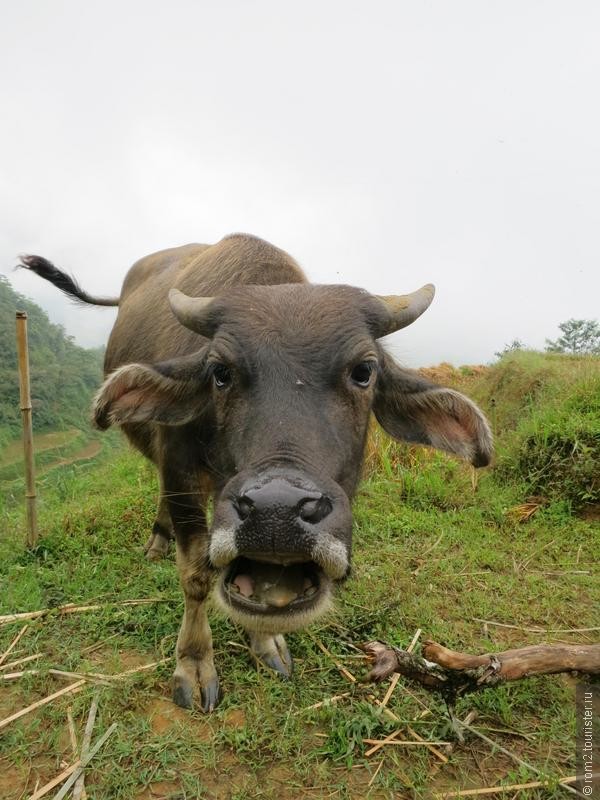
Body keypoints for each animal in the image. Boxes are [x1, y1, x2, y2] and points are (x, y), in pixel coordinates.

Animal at [21, 233, 494, 712]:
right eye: (220, 372)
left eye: (364, 371)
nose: (276, 513)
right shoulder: (179, 470)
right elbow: (196, 576)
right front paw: (194, 663)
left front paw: (265, 643)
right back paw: (158, 538)